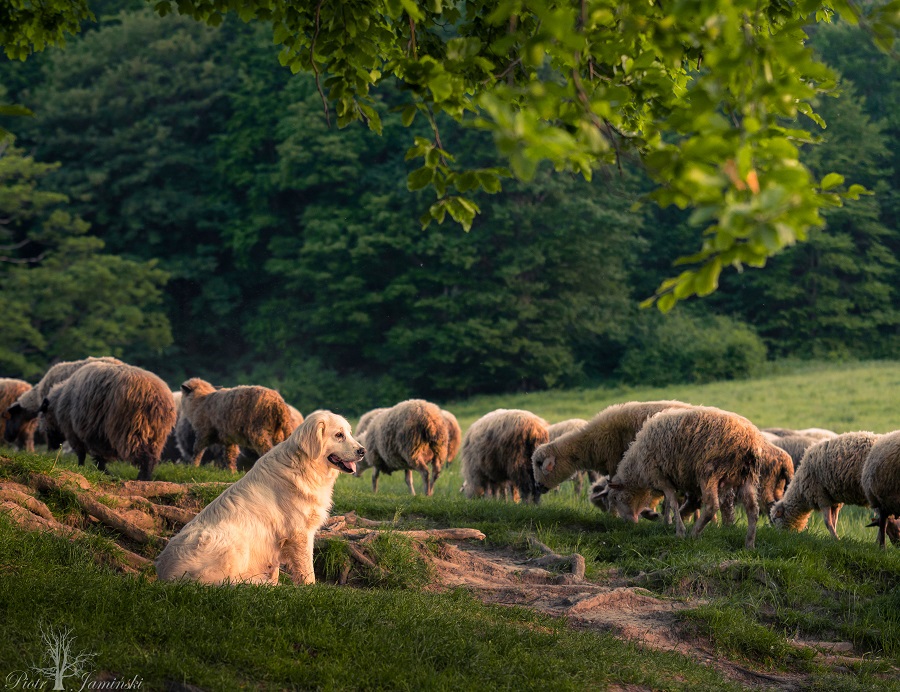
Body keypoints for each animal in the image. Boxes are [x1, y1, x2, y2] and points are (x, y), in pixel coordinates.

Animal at [39, 360, 177, 478]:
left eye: (45, 427)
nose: (50, 449)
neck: (58, 403)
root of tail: (156, 396)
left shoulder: (76, 431)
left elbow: (84, 453)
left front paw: (84, 468)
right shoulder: (97, 432)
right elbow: (97, 454)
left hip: (132, 428)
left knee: (144, 455)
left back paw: (142, 478)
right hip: (156, 433)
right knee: (152, 456)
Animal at [600, 406, 776, 548]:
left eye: (614, 498)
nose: (628, 523)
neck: (637, 465)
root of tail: (750, 439)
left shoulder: (661, 477)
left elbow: (672, 502)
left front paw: (679, 531)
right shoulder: (669, 478)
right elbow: (668, 504)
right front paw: (665, 522)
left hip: (710, 472)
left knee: (712, 506)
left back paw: (694, 534)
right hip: (748, 477)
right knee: (753, 509)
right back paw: (749, 544)